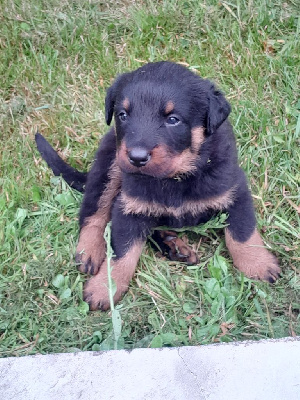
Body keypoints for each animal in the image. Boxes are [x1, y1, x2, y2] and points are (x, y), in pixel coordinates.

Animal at [35, 61, 282, 310]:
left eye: (173, 119)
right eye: (123, 115)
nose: (136, 157)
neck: (176, 178)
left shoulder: (235, 190)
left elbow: (242, 234)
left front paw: (258, 264)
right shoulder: (128, 207)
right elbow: (122, 252)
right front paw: (104, 288)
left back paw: (174, 246)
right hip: (108, 168)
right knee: (93, 211)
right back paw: (90, 251)